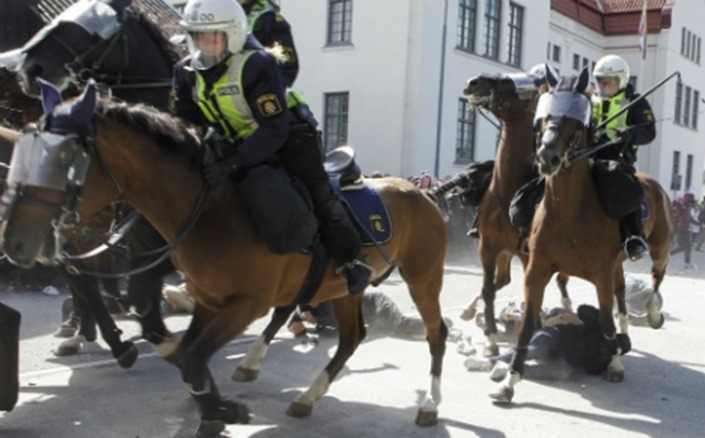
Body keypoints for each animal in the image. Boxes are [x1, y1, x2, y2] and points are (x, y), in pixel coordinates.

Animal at [0, 81, 448, 434]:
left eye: (63, 160)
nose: (16, 242)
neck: (211, 208)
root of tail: (422, 192)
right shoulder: (208, 298)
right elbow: (186, 352)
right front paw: (213, 407)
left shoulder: (244, 304)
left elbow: (192, 354)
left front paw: (221, 408)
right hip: (343, 288)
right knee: (351, 337)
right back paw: (303, 394)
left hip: (422, 278)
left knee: (436, 333)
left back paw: (429, 404)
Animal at [490, 66, 671, 403]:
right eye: (545, 116)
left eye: (575, 120)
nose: (546, 156)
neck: (569, 211)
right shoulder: (537, 270)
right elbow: (528, 326)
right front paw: (510, 381)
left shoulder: (601, 273)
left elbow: (605, 321)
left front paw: (614, 364)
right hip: (616, 266)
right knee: (623, 299)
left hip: (659, 248)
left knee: (654, 279)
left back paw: (652, 314)